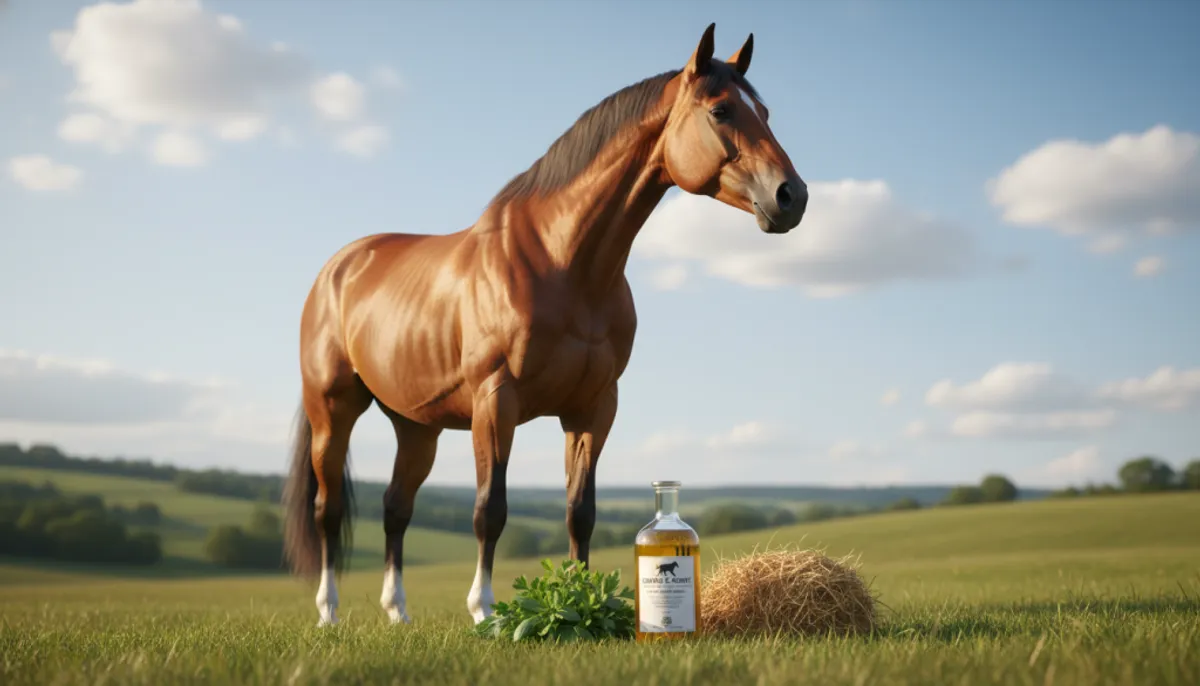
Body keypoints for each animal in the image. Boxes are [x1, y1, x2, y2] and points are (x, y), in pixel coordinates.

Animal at [281, 22, 808, 627]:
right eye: (721, 110)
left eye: (764, 111)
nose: (792, 196)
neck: (563, 262)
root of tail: (340, 267)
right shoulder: (496, 401)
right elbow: (490, 509)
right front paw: (485, 611)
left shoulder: (593, 408)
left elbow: (581, 512)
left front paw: (581, 605)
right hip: (334, 409)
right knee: (328, 509)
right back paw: (328, 612)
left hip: (415, 426)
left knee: (396, 507)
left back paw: (398, 612)